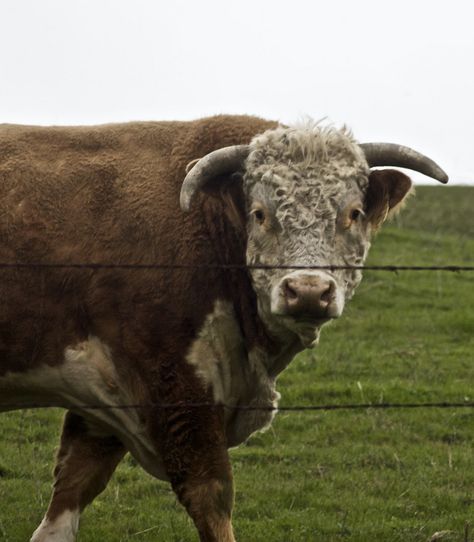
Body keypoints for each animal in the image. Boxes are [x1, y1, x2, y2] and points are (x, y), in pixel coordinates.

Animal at [0, 113, 448, 540]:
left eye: (353, 214)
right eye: (259, 214)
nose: (307, 291)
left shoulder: (103, 391)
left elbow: (71, 489)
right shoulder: (175, 386)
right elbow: (211, 496)